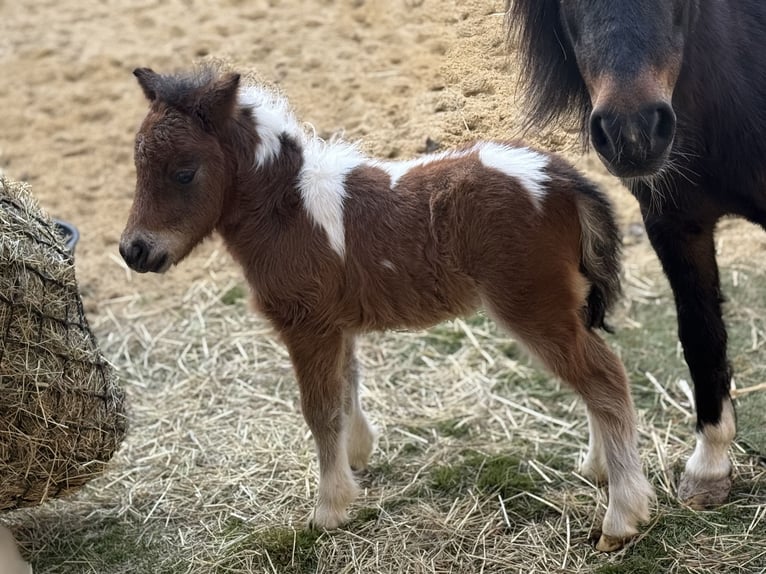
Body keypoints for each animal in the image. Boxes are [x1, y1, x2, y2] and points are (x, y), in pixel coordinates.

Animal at [120, 67, 656, 552]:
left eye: (185, 171)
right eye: (138, 166)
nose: (134, 251)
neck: (288, 209)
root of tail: (564, 179)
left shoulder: (307, 326)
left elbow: (320, 410)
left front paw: (329, 509)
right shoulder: (335, 324)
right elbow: (347, 387)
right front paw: (356, 459)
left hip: (534, 307)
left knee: (604, 378)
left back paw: (621, 516)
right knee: (597, 378)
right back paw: (599, 468)